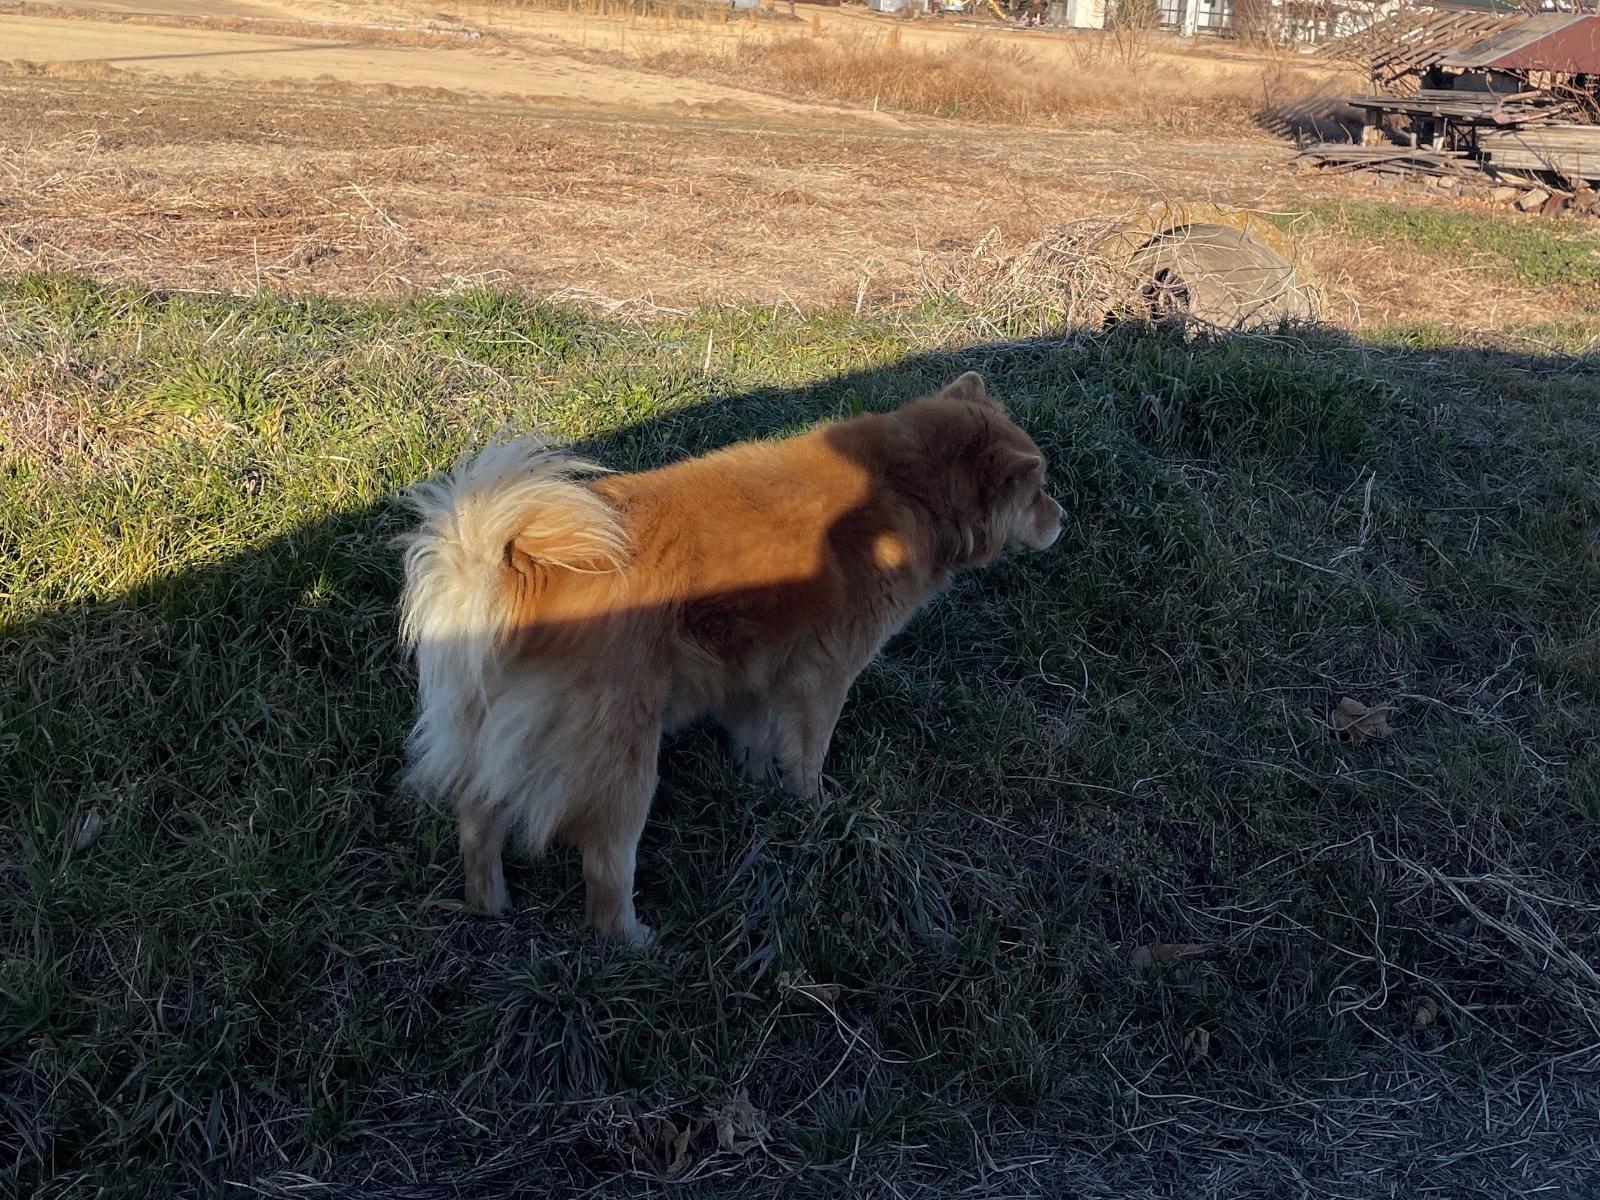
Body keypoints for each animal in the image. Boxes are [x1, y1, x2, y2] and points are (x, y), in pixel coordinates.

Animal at [398, 372, 1063, 944]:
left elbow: (755, 736)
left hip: (493, 736)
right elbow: (808, 755)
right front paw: (814, 810)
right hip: (624, 762)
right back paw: (633, 941)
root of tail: (516, 567)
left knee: (477, 818)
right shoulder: (823, 677)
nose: (1064, 519)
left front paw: (755, 781)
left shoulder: (755, 671)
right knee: (606, 870)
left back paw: (490, 906)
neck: (907, 486)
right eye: (1039, 491)